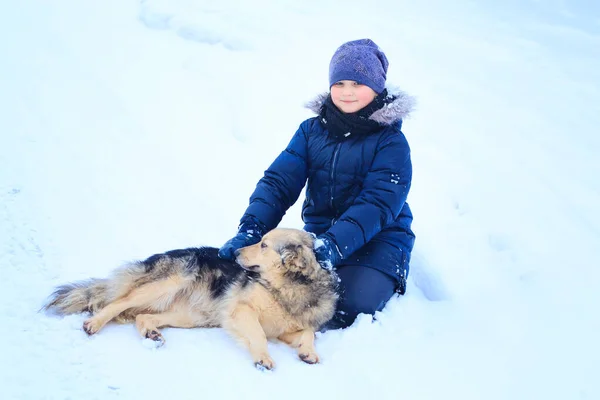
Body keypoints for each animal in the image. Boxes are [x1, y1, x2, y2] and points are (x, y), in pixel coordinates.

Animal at [43, 228, 338, 368]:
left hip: (192, 315)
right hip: (167, 284)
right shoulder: (241, 310)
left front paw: (309, 352)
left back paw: (151, 333)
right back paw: (94, 323)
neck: (286, 288)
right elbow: (257, 334)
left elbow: (308, 333)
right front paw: (263, 358)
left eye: (264, 245)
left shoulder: (286, 330)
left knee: (143, 316)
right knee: (118, 303)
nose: (234, 253)